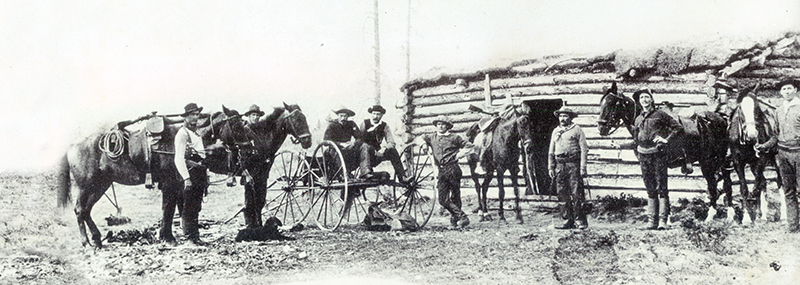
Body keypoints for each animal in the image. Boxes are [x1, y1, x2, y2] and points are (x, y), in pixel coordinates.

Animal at [57, 106, 244, 246]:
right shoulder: (169, 184)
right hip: (86, 186)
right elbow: (168, 210)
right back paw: (86, 242)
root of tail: (72, 146)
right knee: (80, 209)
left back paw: (96, 240)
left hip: (100, 185)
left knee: (86, 210)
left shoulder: (177, 184)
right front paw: (168, 237)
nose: (245, 147)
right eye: (236, 125)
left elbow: (177, 209)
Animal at [592, 81, 732, 210]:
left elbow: (662, 189)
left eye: (612, 103)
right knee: (725, 183)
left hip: (709, 161)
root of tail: (722, 119)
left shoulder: (661, 165)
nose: (601, 128)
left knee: (716, 186)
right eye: (601, 103)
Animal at [724, 85, 780, 223]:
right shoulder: (738, 162)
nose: (752, 135)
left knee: (780, 182)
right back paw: (762, 215)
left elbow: (756, 188)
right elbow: (744, 188)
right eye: (740, 109)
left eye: (756, 108)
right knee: (764, 182)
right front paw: (746, 218)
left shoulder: (760, 160)